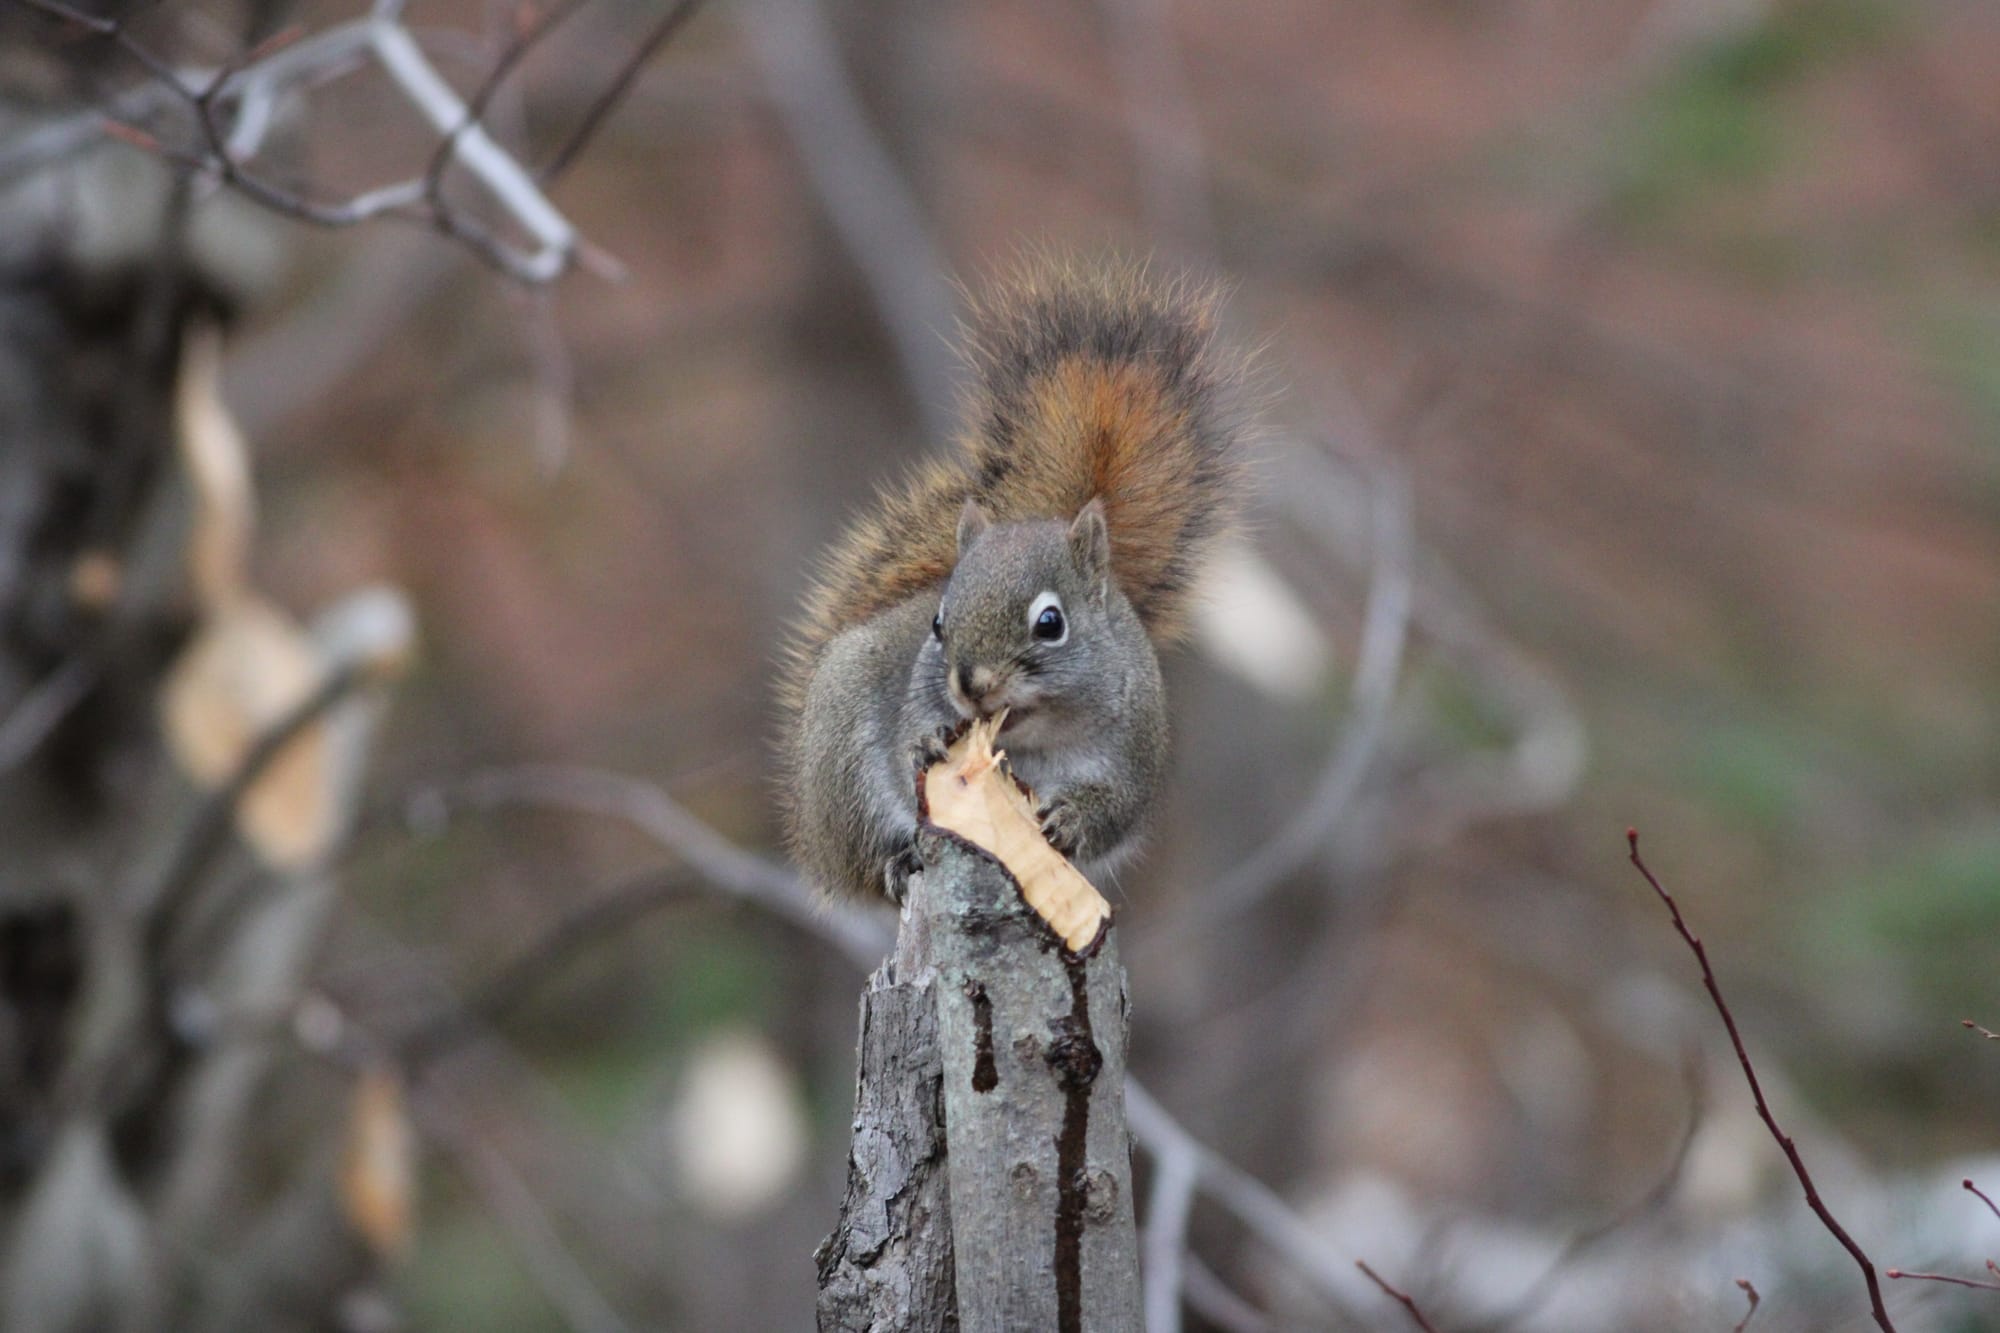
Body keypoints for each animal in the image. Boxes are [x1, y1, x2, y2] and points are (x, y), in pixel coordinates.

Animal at [780, 259, 1252, 902]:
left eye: (1051, 624)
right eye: (937, 622)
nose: (971, 685)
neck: (1026, 741)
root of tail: (814, 837)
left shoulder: (1133, 751)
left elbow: (1114, 810)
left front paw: (1073, 819)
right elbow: (908, 742)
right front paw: (925, 743)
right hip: (842, 758)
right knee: (867, 857)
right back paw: (892, 861)